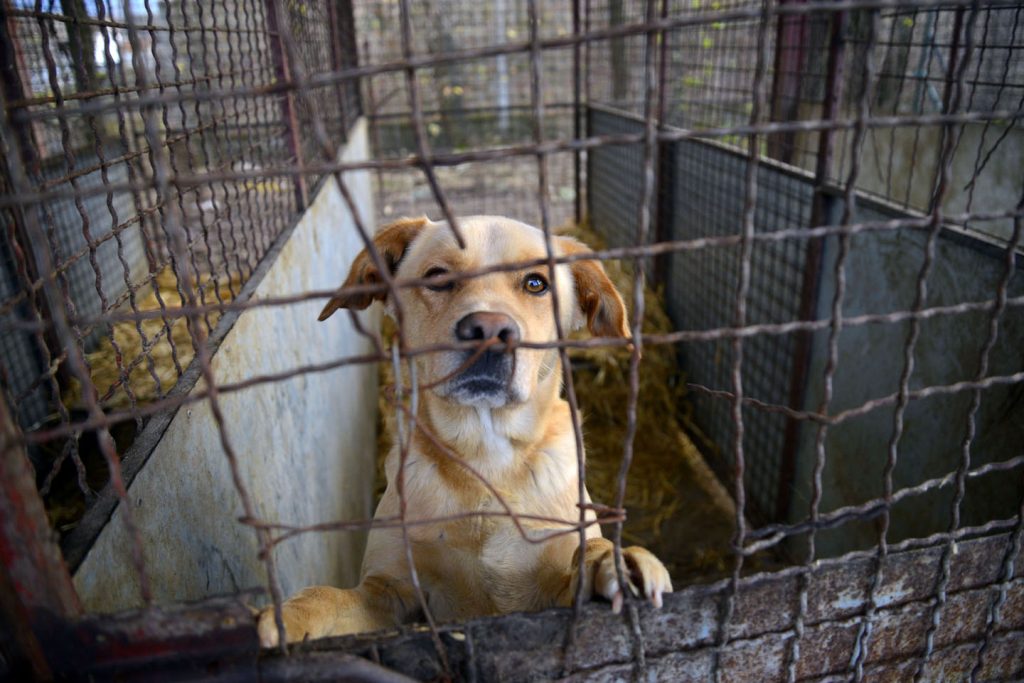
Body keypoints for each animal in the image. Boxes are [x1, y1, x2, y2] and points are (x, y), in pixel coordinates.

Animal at [256, 215, 671, 647]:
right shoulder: (388, 592)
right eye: (438, 276)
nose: (489, 329)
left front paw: (614, 561)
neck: (485, 457)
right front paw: (292, 617)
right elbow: (332, 597)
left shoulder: (551, 586)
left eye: (536, 283)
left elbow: (587, 554)